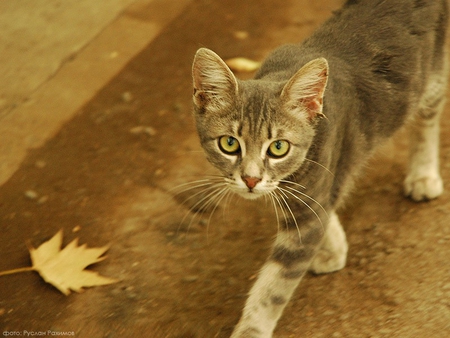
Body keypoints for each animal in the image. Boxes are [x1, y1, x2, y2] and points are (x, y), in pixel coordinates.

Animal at [189, 0, 446, 336]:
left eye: (278, 147)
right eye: (229, 144)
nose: (250, 180)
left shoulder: (312, 193)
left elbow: (273, 287)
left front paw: (251, 328)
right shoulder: (312, 187)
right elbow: (326, 205)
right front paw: (334, 249)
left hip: (434, 73)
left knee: (428, 116)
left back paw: (424, 174)